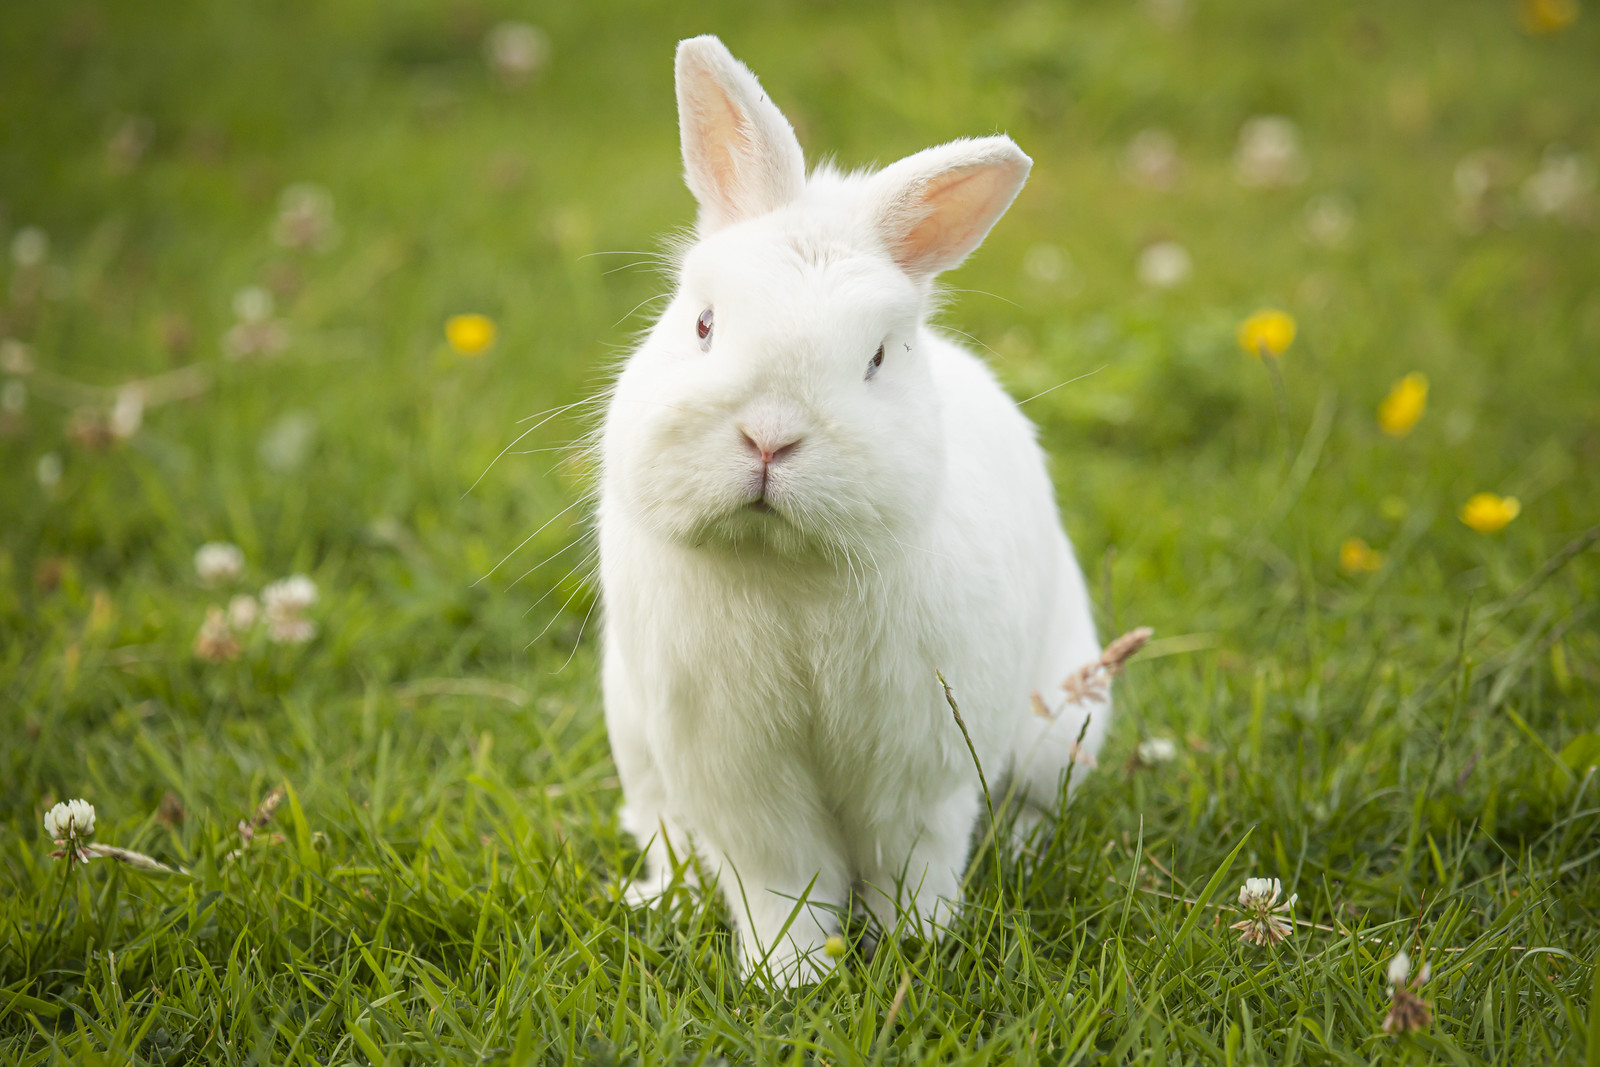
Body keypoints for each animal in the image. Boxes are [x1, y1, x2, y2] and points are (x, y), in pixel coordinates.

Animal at [597, 35, 1105, 986]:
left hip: (1064, 725)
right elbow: (779, 874)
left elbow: (912, 859)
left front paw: (916, 945)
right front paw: (789, 975)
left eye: (877, 356)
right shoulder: (739, 775)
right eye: (704, 325)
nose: (769, 436)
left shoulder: (922, 763)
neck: (787, 566)